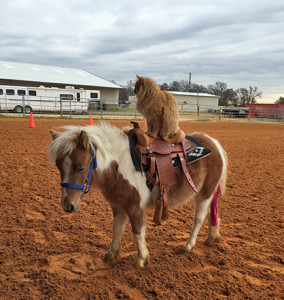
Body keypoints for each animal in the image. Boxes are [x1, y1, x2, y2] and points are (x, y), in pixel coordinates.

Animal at [47, 122, 227, 268]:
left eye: (81, 167)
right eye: (59, 166)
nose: (68, 205)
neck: (119, 165)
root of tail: (214, 143)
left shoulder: (135, 207)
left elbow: (137, 231)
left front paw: (142, 259)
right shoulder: (118, 206)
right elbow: (117, 228)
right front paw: (111, 254)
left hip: (204, 193)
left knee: (199, 218)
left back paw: (189, 245)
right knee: (212, 212)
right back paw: (212, 237)